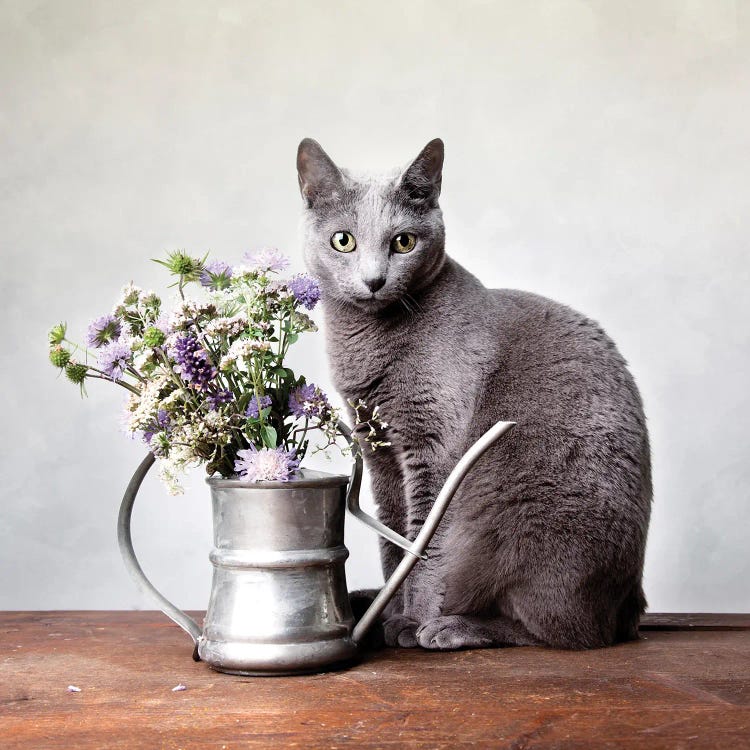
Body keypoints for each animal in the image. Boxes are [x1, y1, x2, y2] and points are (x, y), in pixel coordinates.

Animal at [296, 140, 652, 652]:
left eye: (403, 242)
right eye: (343, 241)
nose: (374, 280)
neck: (369, 339)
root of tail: (631, 605)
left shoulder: (434, 448)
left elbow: (424, 544)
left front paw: (410, 620)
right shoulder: (380, 451)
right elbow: (392, 540)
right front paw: (391, 609)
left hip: (523, 518)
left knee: (565, 632)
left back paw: (453, 626)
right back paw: (370, 600)